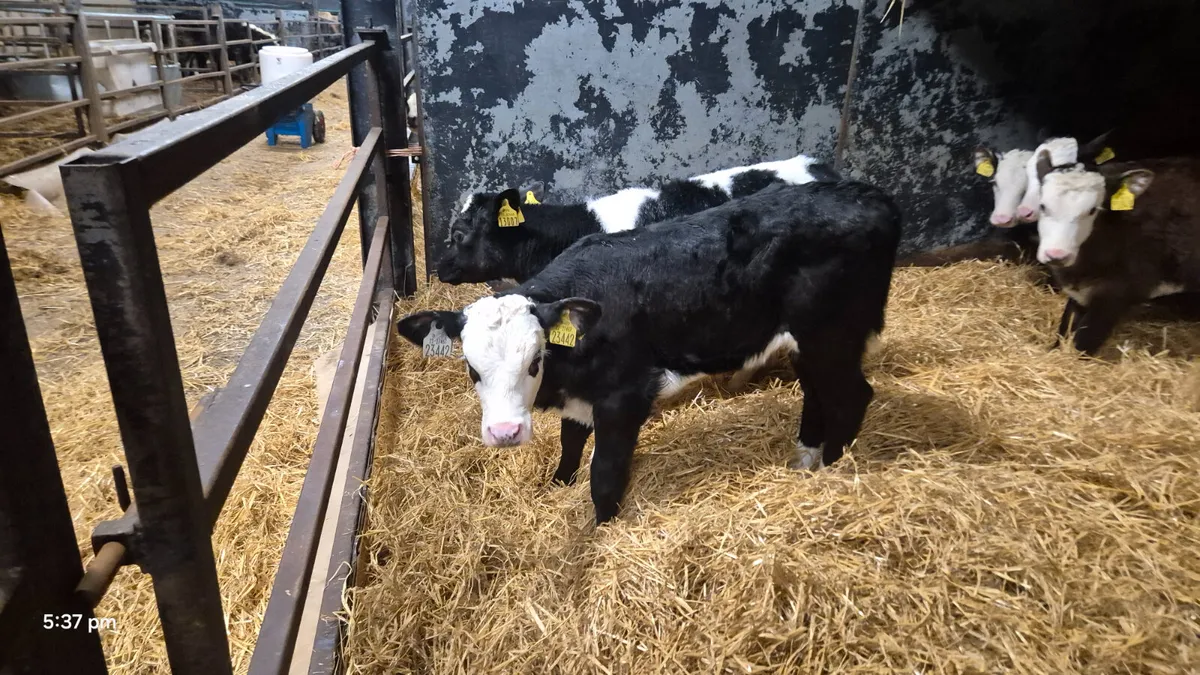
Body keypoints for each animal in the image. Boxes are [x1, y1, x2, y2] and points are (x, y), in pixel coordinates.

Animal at [397, 180, 902, 524]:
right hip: (808, 340)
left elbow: (604, 474)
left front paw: (602, 528)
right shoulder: (584, 392)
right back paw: (804, 460)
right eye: (471, 368)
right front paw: (557, 485)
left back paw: (834, 470)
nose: (505, 432)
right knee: (818, 392)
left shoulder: (625, 394)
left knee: (851, 396)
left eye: (535, 360)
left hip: (834, 332)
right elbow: (570, 445)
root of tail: (869, 194)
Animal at [1032, 150, 1200, 354]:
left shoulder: (1116, 294)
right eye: (1042, 206)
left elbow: (1085, 341)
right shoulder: (1079, 294)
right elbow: (1065, 327)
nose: (1056, 255)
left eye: (1093, 210)